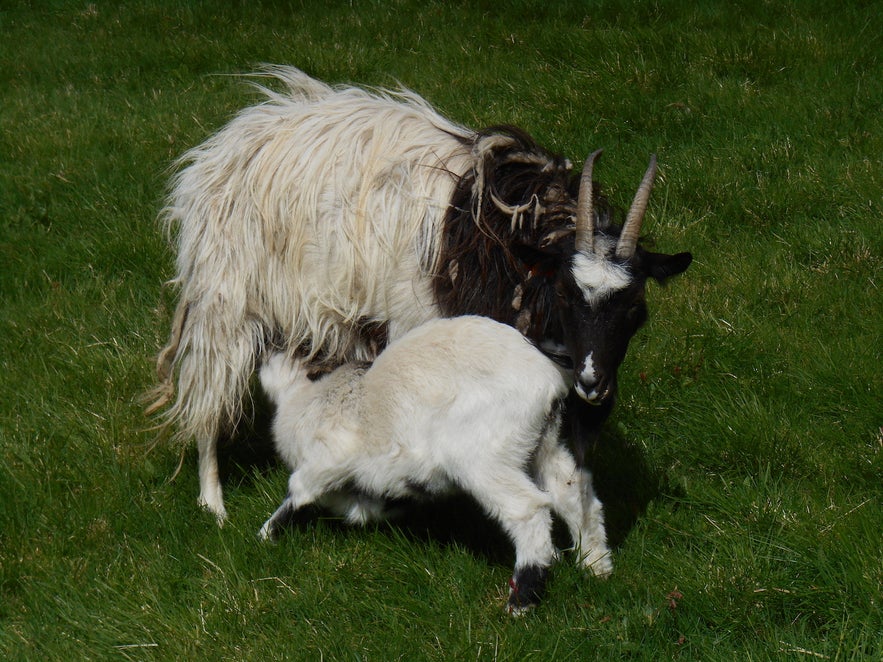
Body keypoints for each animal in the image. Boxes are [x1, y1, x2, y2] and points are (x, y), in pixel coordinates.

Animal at [258, 318, 612, 616]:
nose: (270, 346)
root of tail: (548, 377)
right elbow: (357, 507)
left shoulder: (329, 457)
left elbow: (300, 490)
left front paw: (266, 535)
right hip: (544, 442)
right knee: (575, 495)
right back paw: (596, 566)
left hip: (481, 455)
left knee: (529, 508)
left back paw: (521, 601)